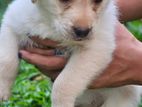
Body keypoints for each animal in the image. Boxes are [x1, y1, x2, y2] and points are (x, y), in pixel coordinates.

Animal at [0, 0, 141, 106]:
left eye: (98, 0)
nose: (83, 32)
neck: (52, 26)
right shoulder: (12, 22)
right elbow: (7, 62)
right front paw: (3, 92)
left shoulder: (96, 48)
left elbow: (64, 84)